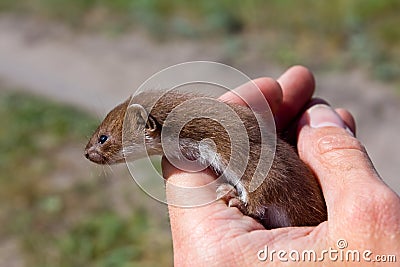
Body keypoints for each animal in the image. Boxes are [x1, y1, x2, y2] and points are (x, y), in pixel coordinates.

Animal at [86, 91, 326, 229]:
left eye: (103, 137)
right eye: (97, 131)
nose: (86, 153)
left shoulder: (256, 157)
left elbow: (267, 186)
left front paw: (234, 198)